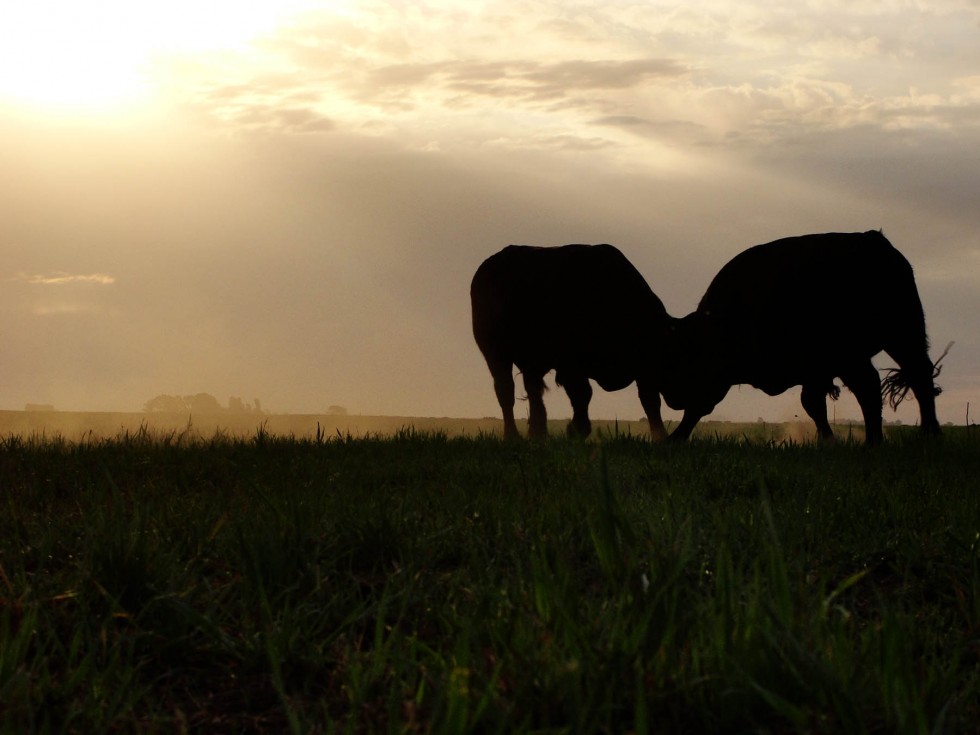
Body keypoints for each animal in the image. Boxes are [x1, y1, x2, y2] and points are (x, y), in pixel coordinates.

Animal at [470, 244, 668, 440]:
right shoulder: (569, 364)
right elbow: (582, 393)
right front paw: (577, 429)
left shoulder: (645, 365)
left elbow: (650, 400)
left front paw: (661, 437)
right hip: (495, 353)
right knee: (506, 391)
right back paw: (513, 436)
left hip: (531, 361)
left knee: (533, 392)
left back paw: (538, 434)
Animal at [660, 233, 940, 446]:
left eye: (675, 355)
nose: (669, 396)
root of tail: (874, 240)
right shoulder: (815, 372)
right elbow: (813, 404)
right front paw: (827, 440)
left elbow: (699, 405)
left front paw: (673, 438)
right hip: (900, 338)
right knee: (915, 376)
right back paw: (924, 434)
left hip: (874, 348)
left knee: (879, 385)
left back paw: (888, 439)